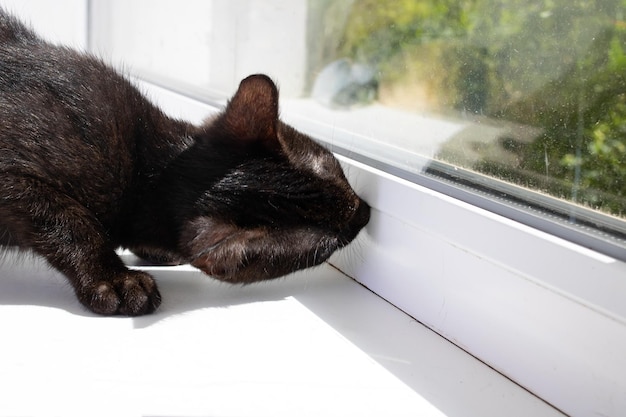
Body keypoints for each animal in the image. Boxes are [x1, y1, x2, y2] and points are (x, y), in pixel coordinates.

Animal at [0, 10, 368, 316]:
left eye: (332, 168)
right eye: (328, 246)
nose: (364, 212)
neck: (145, 176)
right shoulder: (14, 178)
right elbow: (73, 221)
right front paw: (115, 280)